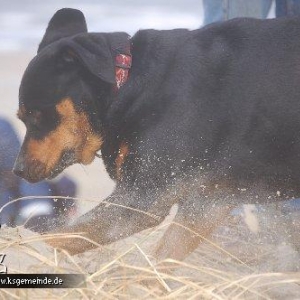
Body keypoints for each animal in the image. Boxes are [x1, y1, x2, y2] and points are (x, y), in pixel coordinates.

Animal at [14, 7, 300, 260]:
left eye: (36, 115)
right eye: (21, 118)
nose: (17, 170)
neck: (128, 85)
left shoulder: (141, 198)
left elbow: (62, 236)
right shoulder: (209, 199)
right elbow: (165, 255)